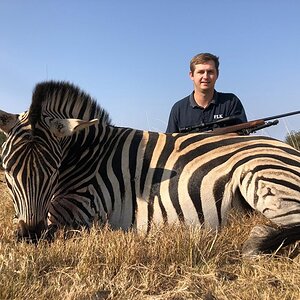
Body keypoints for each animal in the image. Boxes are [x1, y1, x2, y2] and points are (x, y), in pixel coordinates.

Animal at [0, 81, 298, 255]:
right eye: (8, 172)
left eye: (53, 171)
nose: (30, 236)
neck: (89, 152)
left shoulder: (78, 210)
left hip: (263, 175)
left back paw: (256, 240)